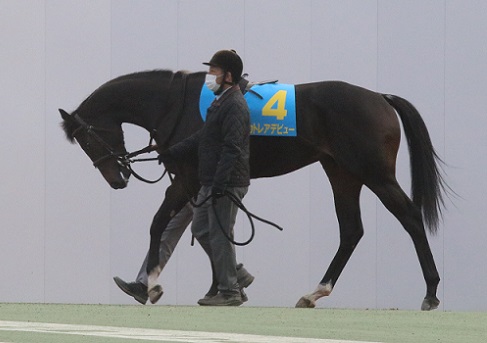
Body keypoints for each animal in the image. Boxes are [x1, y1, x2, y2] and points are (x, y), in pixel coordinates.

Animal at [59, 70, 448, 312]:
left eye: (85, 139)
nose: (117, 178)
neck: (175, 104)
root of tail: (380, 97)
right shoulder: (201, 183)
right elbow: (210, 231)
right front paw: (223, 285)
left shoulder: (187, 180)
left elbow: (162, 225)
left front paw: (152, 283)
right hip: (342, 173)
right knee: (351, 230)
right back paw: (315, 292)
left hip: (375, 173)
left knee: (410, 217)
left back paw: (431, 292)